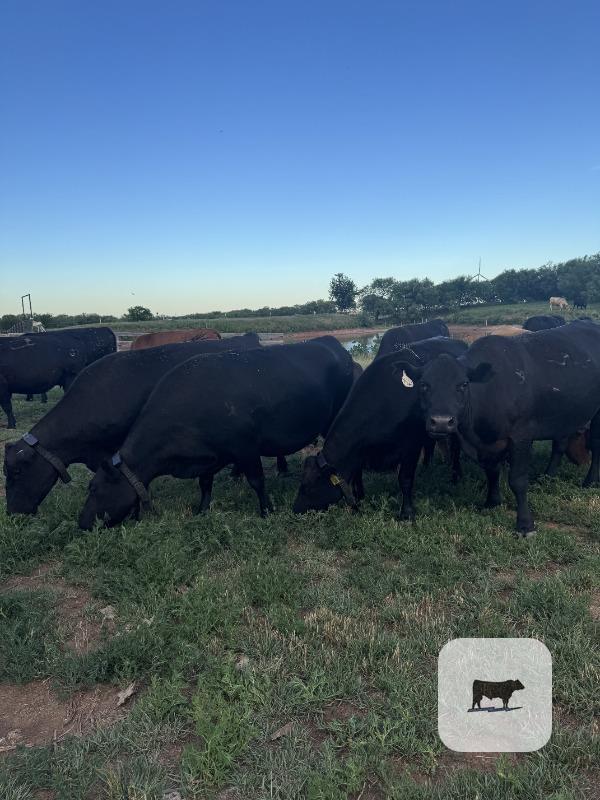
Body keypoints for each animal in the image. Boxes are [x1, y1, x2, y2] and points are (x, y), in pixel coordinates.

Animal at [78, 336, 355, 529]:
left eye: (94, 489)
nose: (81, 523)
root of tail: (332, 343)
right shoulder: (208, 455)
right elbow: (205, 484)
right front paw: (202, 510)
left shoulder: (246, 448)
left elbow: (257, 481)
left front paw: (266, 511)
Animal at [293, 337, 468, 520]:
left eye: (308, 486)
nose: (295, 508)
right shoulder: (360, 452)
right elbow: (357, 475)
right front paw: (359, 499)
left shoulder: (410, 446)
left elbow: (405, 479)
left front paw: (407, 513)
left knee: (455, 449)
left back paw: (456, 476)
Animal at [407, 320, 600, 535]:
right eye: (424, 385)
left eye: (463, 384)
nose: (441, 421)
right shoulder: (487, 445)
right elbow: (491, 472)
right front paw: (492, 502)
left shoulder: (521, 437)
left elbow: (518, 480)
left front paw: (525, 524)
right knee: (559, 445)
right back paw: (547, 476)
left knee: (596, 446)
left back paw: (590, 481)